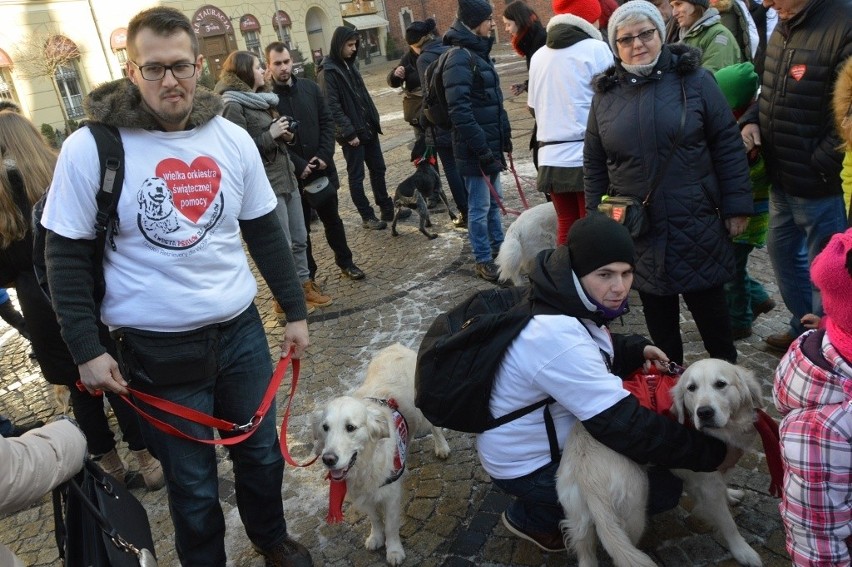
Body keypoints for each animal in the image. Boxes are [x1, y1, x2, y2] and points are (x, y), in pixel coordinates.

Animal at [310, 344, 450, 564]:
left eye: (351, 427)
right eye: (325, 427)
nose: (328, 459)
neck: (364, 467)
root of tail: (397, 346)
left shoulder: (390, 494)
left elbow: (391, 526)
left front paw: (394, 551)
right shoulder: (364, 495)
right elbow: (375, 519)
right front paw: (375, 537)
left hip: (422, 407)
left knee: (434, 427)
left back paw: (442, 447)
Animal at [560, 360, 764, 567]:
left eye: (721, 384)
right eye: (691, 388)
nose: (704, 413)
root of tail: (587, 475)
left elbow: (724, 489)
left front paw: (731, 494)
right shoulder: (707, 482)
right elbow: (728, 523)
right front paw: (743, 551)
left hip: (578, 519)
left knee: (585, 552)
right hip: (634, 512)